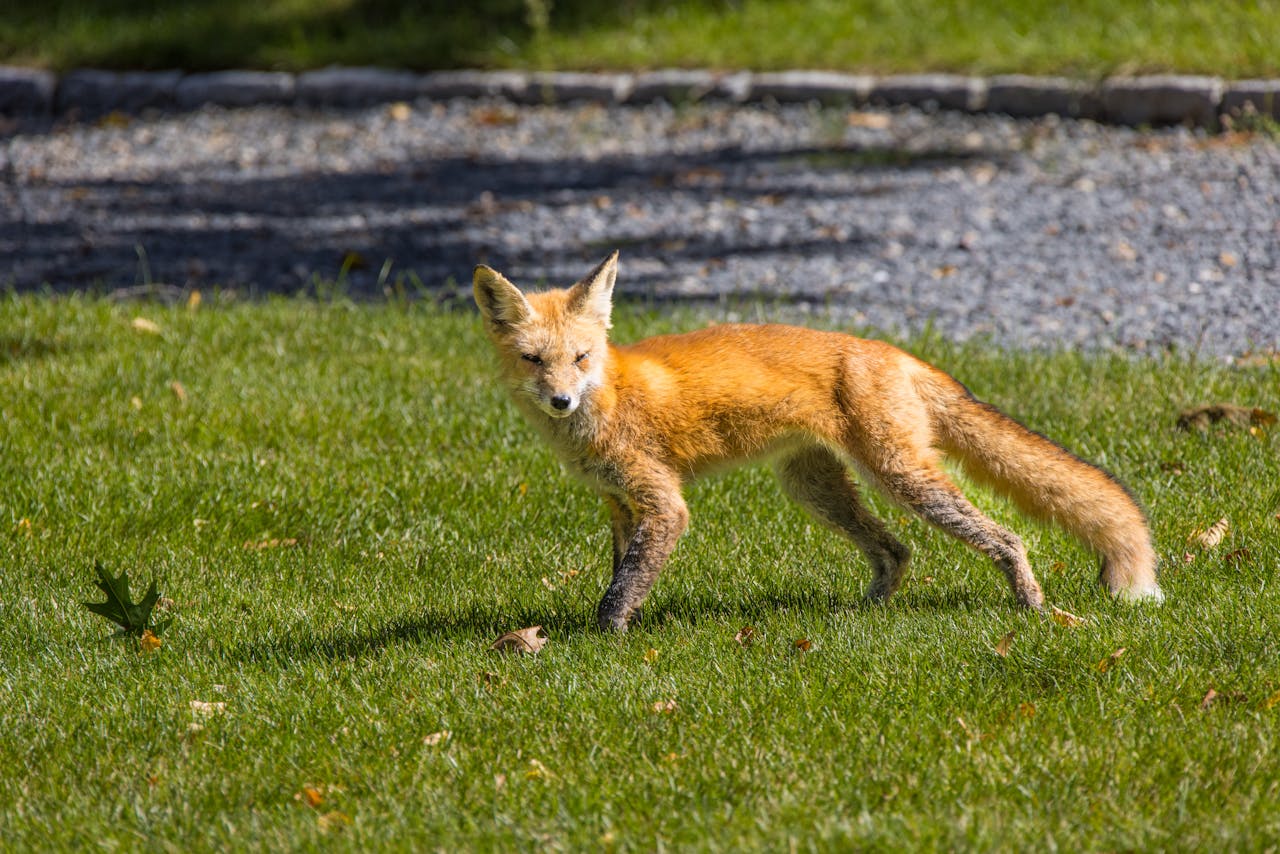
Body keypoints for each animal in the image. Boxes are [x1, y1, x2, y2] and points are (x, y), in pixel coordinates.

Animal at [473, 252, 1162, 632]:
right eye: (535, 361)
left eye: (581, 357)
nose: (561, 400)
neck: (608, 398)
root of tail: (896, 351)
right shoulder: (620, 503)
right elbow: (624, 571)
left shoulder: (663, 503)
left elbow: (622, 587)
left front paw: (604, 641)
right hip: (814, 487)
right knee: (897, 550)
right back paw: (863, 614)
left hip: (899, 476)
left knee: (1005, 536)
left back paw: (1032, 608)